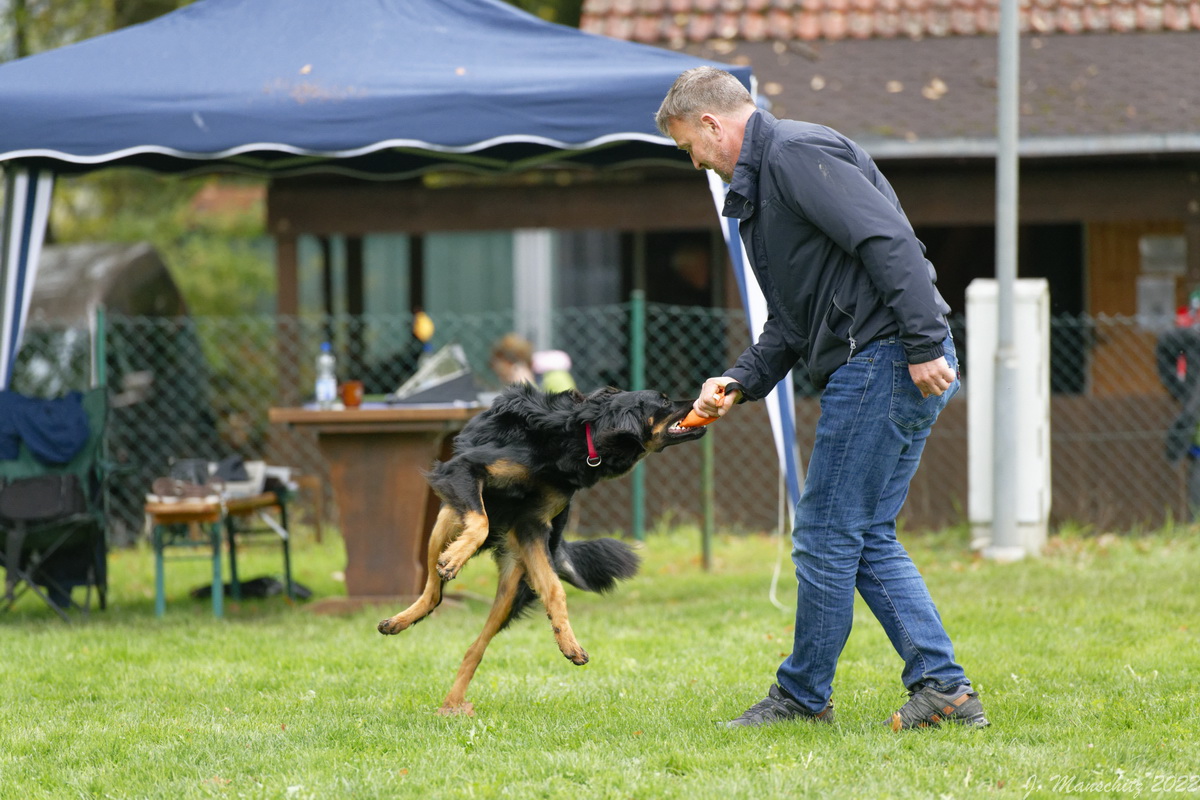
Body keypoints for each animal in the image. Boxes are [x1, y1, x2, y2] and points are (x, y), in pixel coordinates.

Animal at [379, 383, 705, 714]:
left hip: (512, 583)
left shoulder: (531, 526)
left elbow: (554, 590)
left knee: (475, 648)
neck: (581, 437)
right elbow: (480, 522)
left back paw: (453, 703)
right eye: (663, 401)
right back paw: (404, 617)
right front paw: (455, 558)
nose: (699, 398)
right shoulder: (463, 469)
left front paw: (568, 643)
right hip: (447, 519)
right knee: (434, 591)